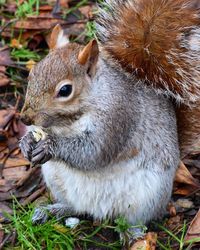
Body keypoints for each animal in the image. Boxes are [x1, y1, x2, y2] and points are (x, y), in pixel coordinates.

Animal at [19, 0, 200, 241]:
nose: (25, 117)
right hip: (56, 180)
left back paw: (133, 235)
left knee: (133, 220)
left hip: (146, 197)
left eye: (65, 90)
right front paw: (26, 142)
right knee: (77, 208)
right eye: (32, 74)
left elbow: (94, 152)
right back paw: (52, 210)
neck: (67, 123)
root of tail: (100, 211)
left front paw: (51, 145)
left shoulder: (119, 116)